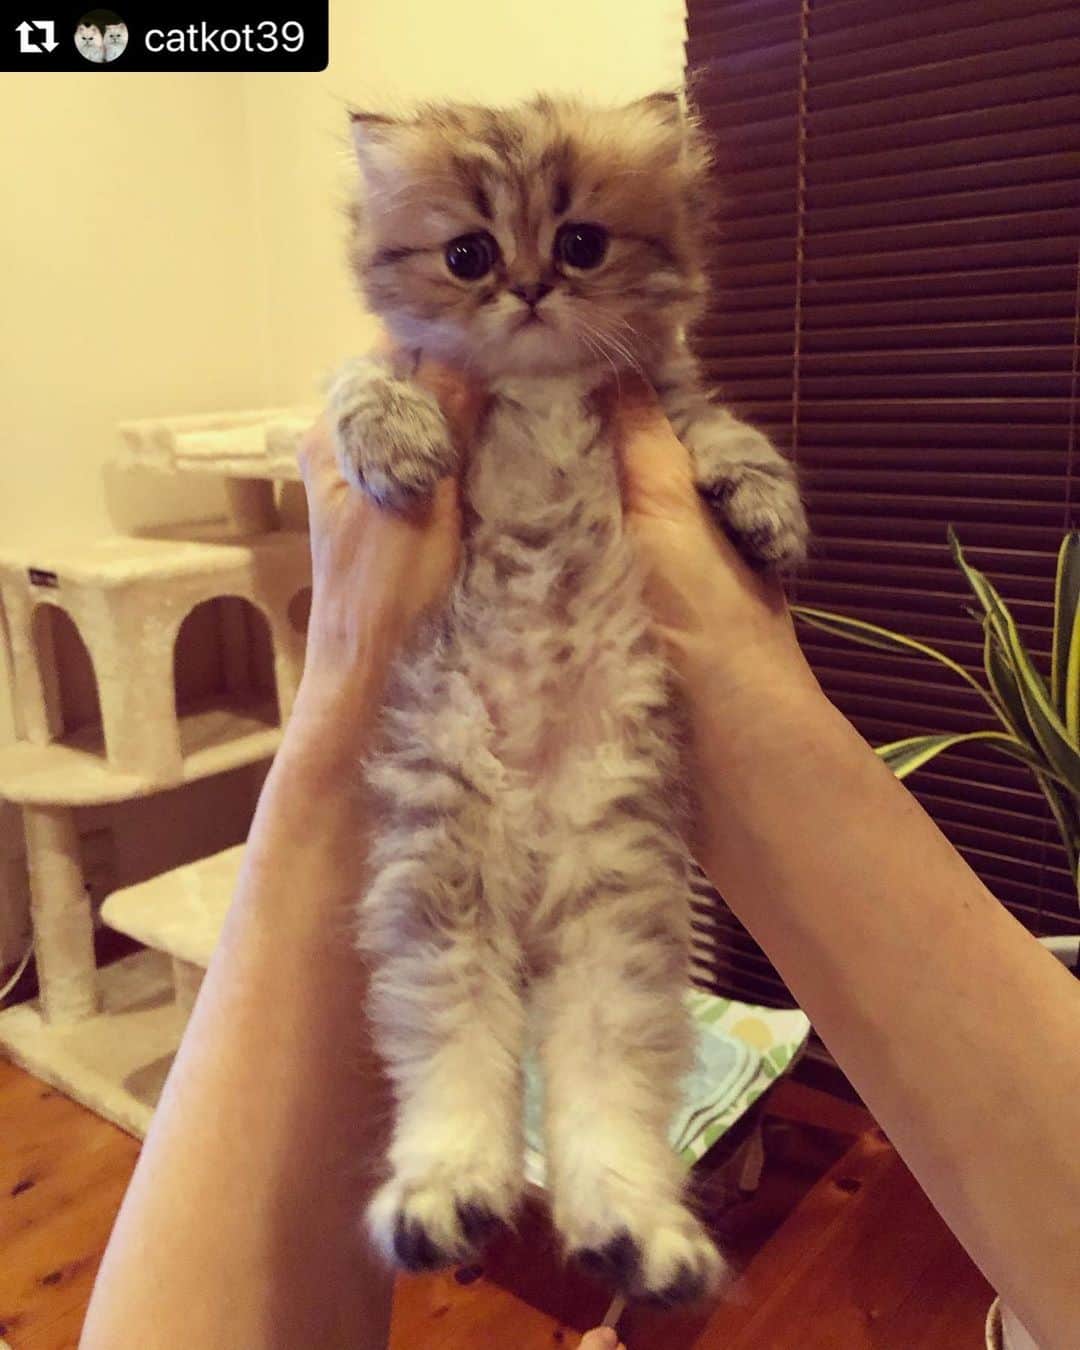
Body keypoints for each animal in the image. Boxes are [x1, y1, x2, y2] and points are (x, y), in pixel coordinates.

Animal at [331, 93, 807, 1305]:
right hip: (442, 873)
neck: (540, 388)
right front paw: (396, 443)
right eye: (468, 255)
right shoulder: (392, 364)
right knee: (458, 1060)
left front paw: (769, 518)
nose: (534, 286)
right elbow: (364, 379)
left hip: (615, 906)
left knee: (604, 1085)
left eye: (583, 242)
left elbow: (730, 438)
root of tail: (531, 843)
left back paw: (637, 1236)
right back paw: (447, 1197)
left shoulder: (672, 408)